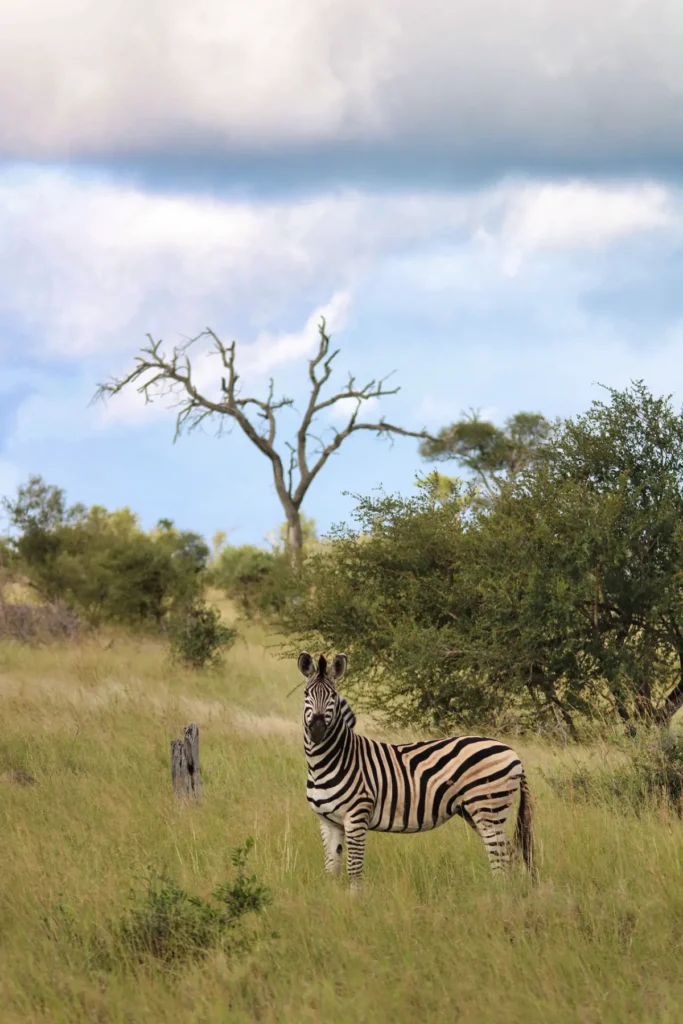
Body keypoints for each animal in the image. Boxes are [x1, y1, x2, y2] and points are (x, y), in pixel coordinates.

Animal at [299, 651, 535, 890]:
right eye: (306, 694)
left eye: (333, 695)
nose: (317, 729)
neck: (327, 762)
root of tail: (511, 751)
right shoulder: (328, 821)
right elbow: (331, 868)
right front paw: (333, 896)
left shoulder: (357, 815)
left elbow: (354, 869)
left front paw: (354, 898)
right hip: (475, 811)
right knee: (511, 854)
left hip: (488, 807)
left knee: (501, 856)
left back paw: (500, 893)